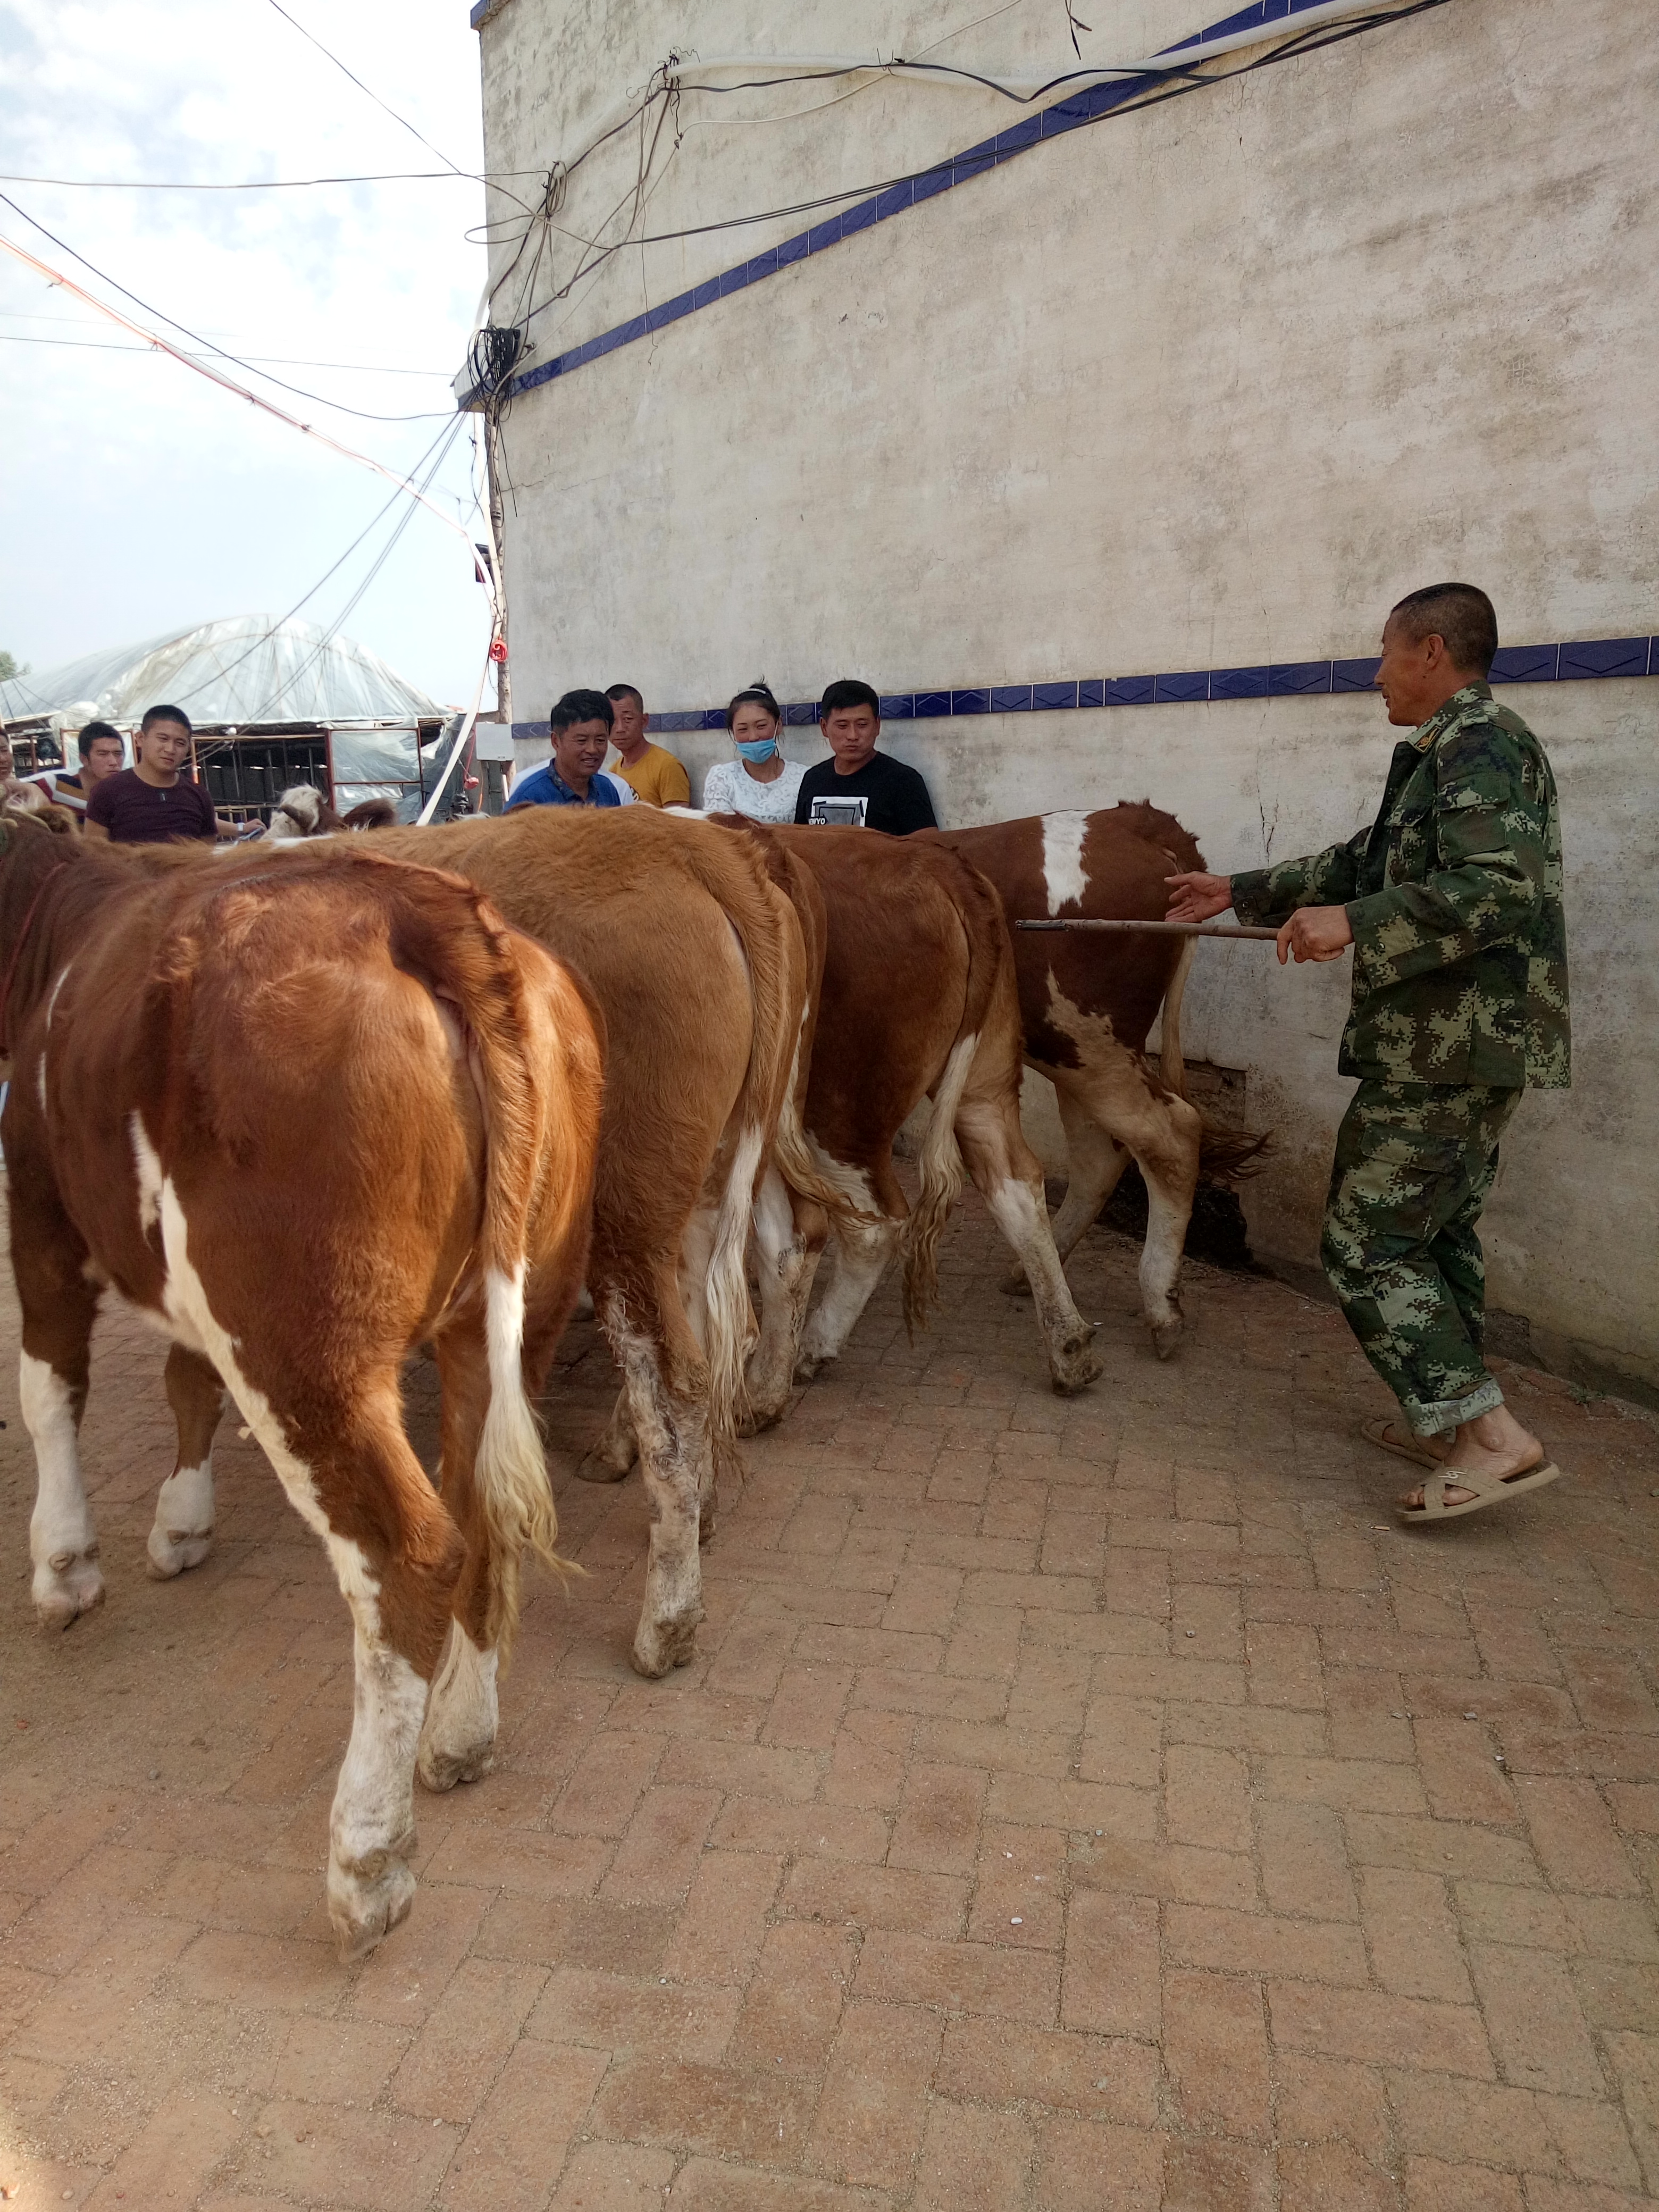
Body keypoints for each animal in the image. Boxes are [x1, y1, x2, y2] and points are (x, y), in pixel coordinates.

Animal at [2, 809, 606, 1955]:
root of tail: (415, 903)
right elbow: (185, 1380)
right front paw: (181, 1524)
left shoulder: (40, 1212)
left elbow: (49, 1387)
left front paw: (64, 1568)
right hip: (512, 1310)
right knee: (484, 1511)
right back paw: (460, 1735)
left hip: (302, 1340)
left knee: (410, 1552)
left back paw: (366, 1860)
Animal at [716, 823, 1106, 1425]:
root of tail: (938, 862)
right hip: (984, 1083)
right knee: (1016, 1183)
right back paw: (1070, 1349)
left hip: (835, 1110)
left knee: (864, 1223)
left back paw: (795, 1360)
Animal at [929, 814, 1265, 1353]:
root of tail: (1127, 819)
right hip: (1080, 1054)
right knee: (1099, 1155)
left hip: (1083, 1043)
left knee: (1169, 1136)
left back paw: (1161, 1304)